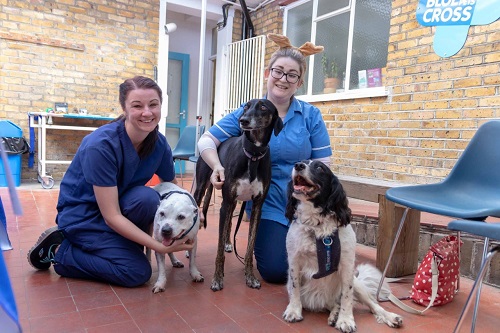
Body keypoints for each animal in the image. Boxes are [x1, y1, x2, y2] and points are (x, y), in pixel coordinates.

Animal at [282, 160, 402, 330]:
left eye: (319, 167)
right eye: (302, 162)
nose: (298, 165)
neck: (317, 225)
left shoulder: (347, 265)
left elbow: (346, 296)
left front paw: (345, 320)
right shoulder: (294, 260)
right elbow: (295, 288)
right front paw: (293, 310)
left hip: (357, 284)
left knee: (372, 305)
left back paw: (390, 316)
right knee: (333, 304)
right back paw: (334, 314)